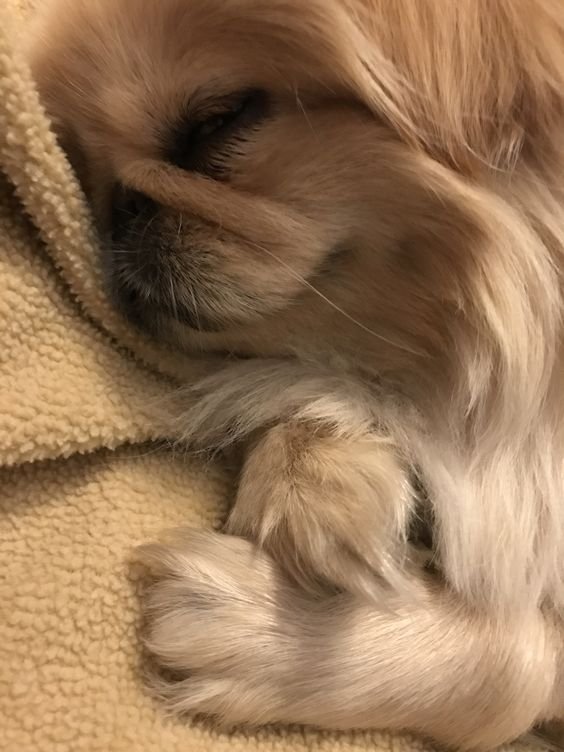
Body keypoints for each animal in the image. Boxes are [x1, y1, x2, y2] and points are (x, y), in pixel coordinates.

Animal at [27, 1, 564, 748]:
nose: (123, 208)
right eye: (83, 174)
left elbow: (517, 653)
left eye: (216, 124)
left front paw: (257, 631)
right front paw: (318, 485)